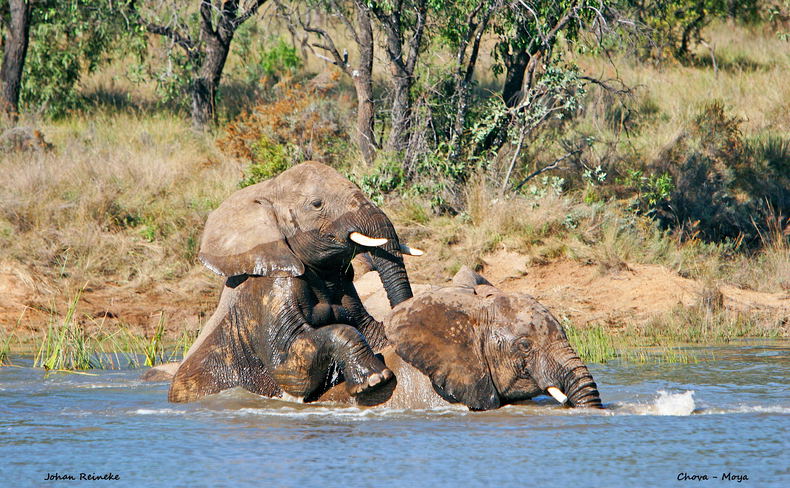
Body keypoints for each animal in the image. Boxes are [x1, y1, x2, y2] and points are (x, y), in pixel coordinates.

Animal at [168, 161, 420, 403]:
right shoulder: (269, 289)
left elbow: (369, 330)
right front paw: (374, 380)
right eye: (317, 204)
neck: (265, 189)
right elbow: (289, 366)